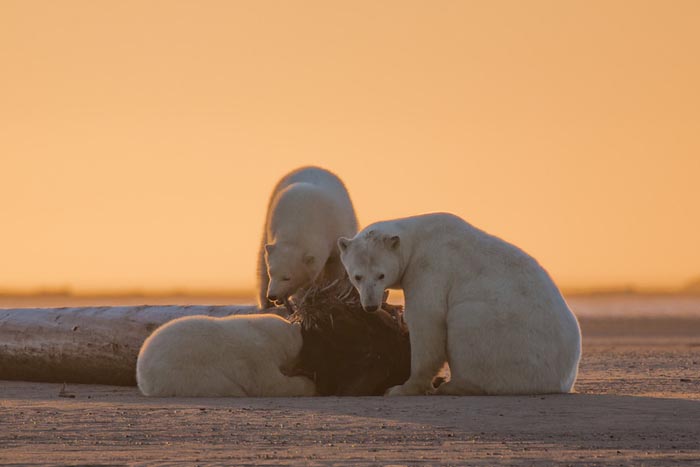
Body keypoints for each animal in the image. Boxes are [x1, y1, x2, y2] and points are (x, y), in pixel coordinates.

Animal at [257, 166, 359, 309]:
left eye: (287, 277)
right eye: (271, 272)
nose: (272, 295)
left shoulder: (336, 228)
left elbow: (336, 264)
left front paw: (331, 290)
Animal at [337, 212, 582, 396]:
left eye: (381, 275)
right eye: (357, 276)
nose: (370, 305)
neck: (418, 238)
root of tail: (561, 381)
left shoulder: (429, 267)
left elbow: (427, 321)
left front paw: (400, 388)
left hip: (507, 343)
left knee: (466, 325)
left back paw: (452, 386)